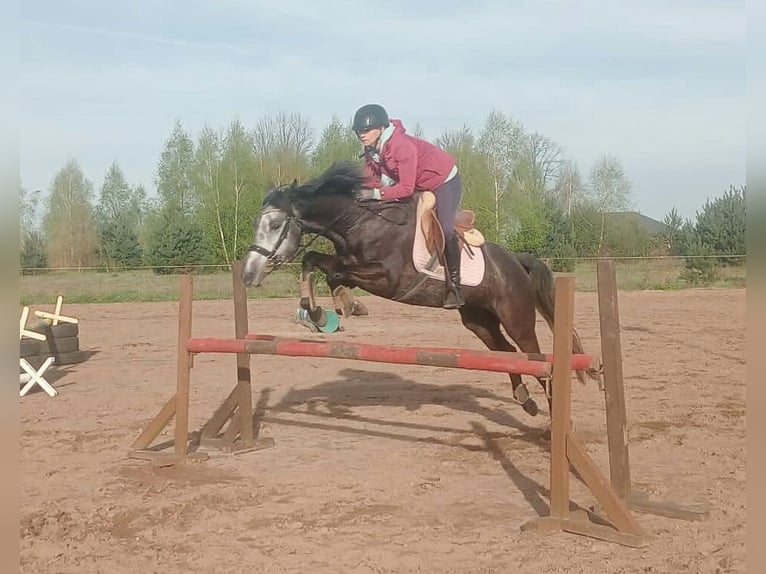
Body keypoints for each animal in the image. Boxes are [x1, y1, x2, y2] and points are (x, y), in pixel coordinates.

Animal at [241, 160, 598, 418]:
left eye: (275, 224)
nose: (248, 274)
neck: (361, 221)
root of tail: (515, 261)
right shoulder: (349, 263)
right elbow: (315, 261)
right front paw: (324, 309)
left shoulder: (387, 278)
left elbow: (331, 268)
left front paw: (339, 306)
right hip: (479, 320)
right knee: (508, 354)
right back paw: (525, 400)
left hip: (517, 318)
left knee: (537, 360)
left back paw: (551, 422)